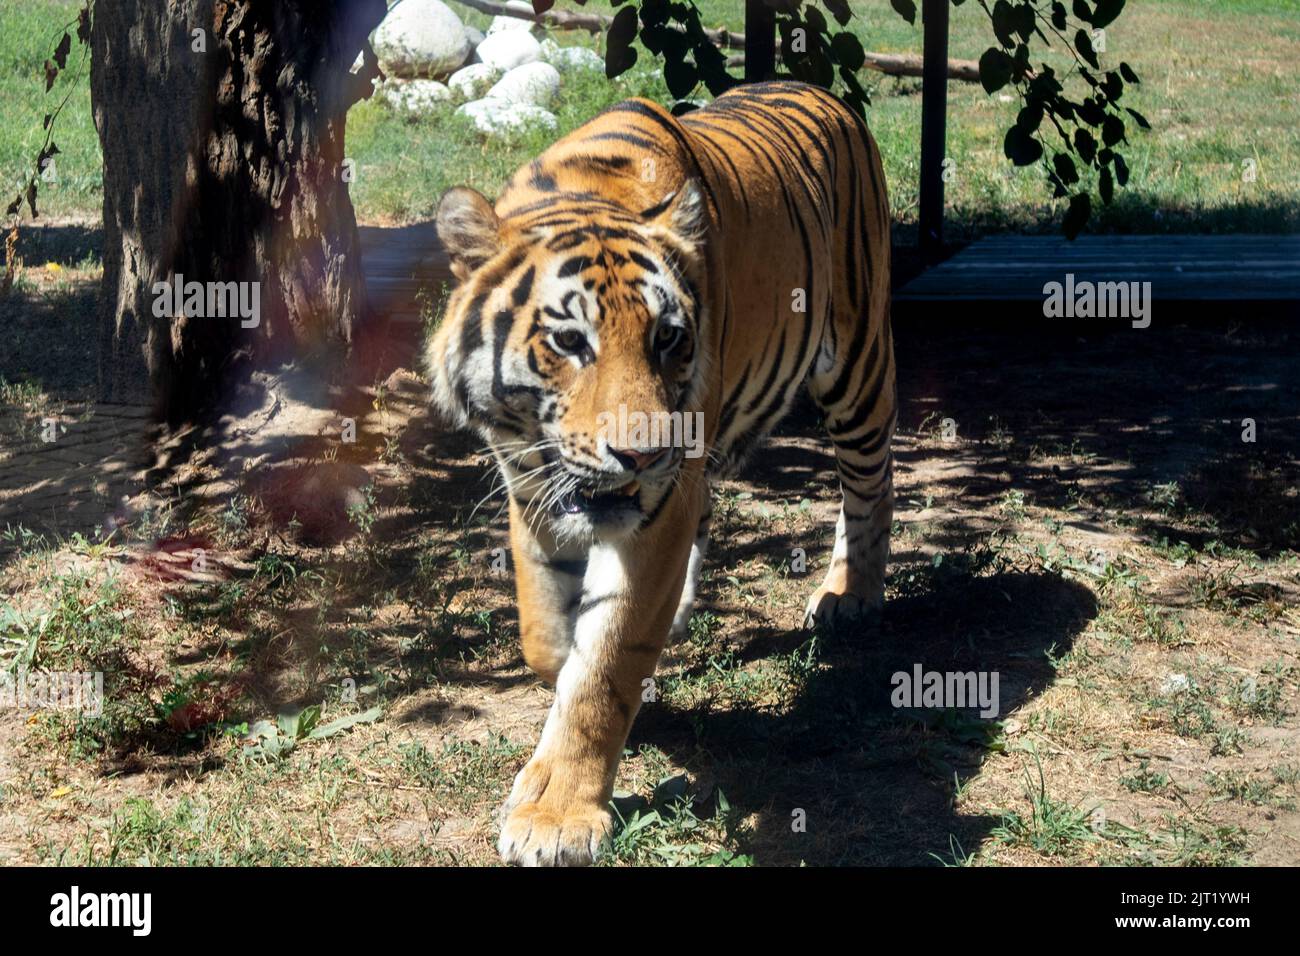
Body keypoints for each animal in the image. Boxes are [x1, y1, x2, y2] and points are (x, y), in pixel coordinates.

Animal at [426, 80, 894, 868]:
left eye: (667, 337)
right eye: (568, 341)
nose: (642, 456)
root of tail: (822, 92)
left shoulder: (655, 509)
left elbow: (605, 664)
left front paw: (556, 815)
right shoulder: (529, 484)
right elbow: (545, 637)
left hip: (856, 363)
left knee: (870, 482)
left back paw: (848, 594)